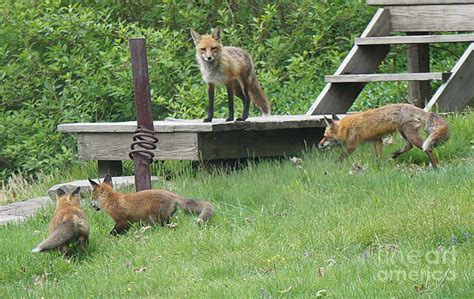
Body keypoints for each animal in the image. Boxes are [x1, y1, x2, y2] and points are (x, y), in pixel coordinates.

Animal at [87, 175, 215, 236]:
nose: (92, 206)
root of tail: (172, 194)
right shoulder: (127, 223)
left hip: (156, 219)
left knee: (165, 227)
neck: (112, 200)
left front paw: (109, 239)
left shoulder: (122, 221)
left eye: (92, 198)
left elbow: (113, 233)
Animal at [318, 104, 448, 168]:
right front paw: (378, 166)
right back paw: (395, 154)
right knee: (409, 146)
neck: (346, 128)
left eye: (325, 136)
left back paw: (435, 167)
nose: (319, 145)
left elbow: (340, 157)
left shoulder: (352, 145)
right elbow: (378, 156)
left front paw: (334, 166)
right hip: (404, 132)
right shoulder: (377, 140)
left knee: (428, 148)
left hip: (410, 134)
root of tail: (414, 107)